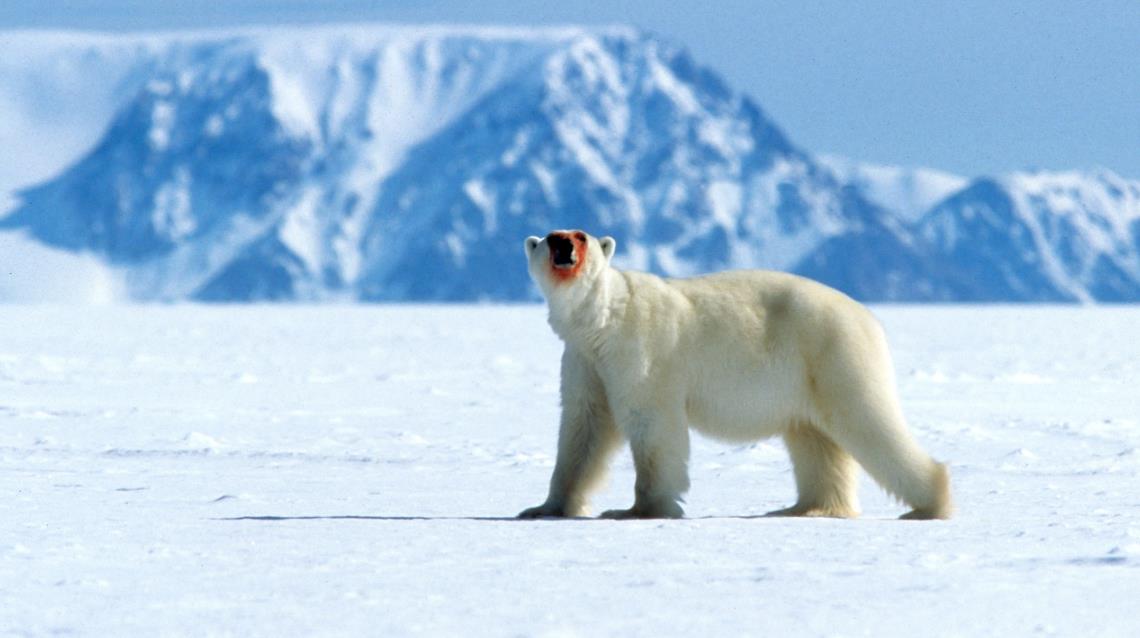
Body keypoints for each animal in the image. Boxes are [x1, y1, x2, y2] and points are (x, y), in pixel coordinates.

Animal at [517, 228, 953, 519]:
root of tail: (870, 318)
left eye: (581, 236)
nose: (563, 246)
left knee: (867, 421)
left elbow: (651, 422)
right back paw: (806, 508)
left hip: (834, 354)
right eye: (551, 236)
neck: (603, 319)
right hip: (807, 375)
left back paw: (931, 502)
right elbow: (584, 427)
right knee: (815, 440)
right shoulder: (584, 360)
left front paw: (639, 509)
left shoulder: (641, 351)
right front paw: (544, 507)